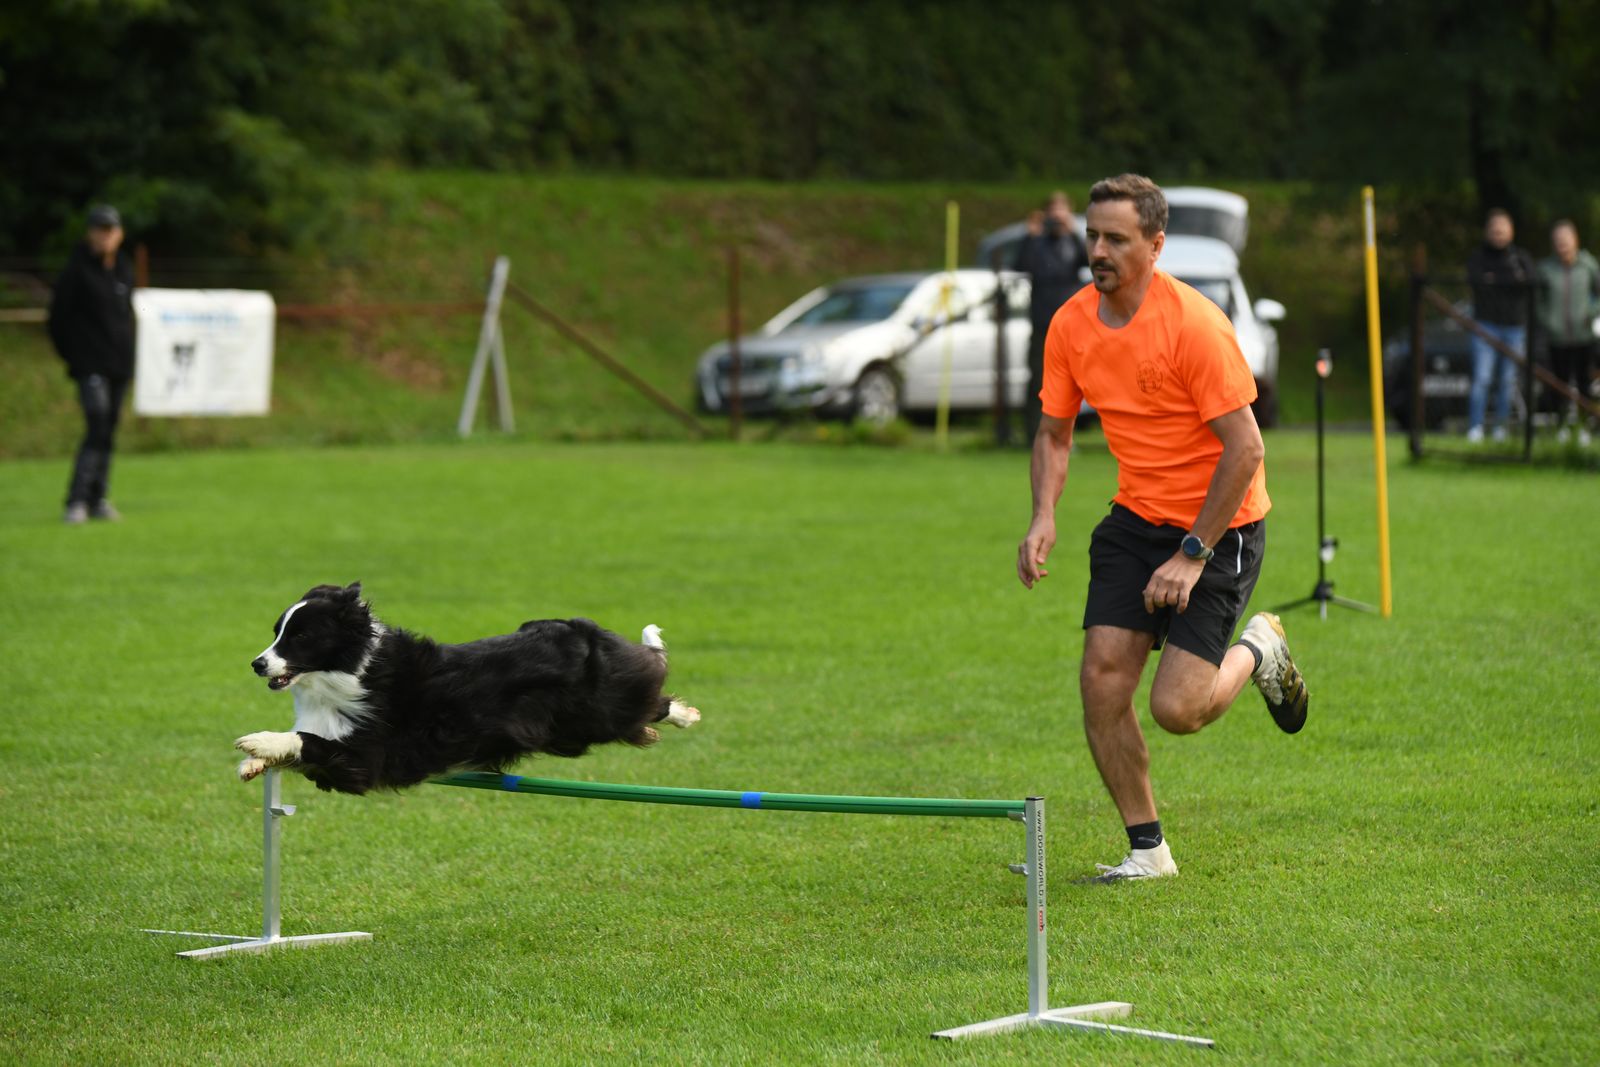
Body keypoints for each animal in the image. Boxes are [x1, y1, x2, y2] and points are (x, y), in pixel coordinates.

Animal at [234, 583, 699, 794]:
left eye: (300, 637)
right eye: (277, 632)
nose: (257, 664)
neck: (351, 673)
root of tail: (583, 630)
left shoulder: (368, 758)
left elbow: (307, 739)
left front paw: (258, 742)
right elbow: (303, 745)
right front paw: (256, 763)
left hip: (598, 712)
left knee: (651, 690)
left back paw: (682, 713)